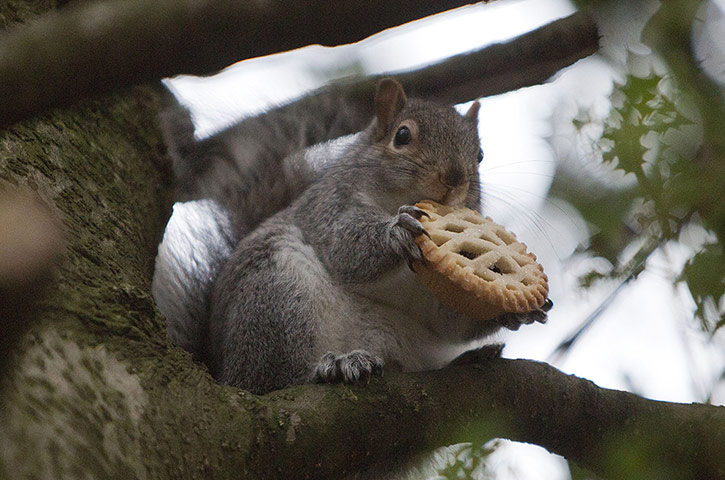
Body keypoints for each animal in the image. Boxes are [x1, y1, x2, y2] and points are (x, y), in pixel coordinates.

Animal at [153, 78, 549, 394]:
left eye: (479, 155)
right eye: (402, 136)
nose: (455, 178)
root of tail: (224, 371)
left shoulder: (436, 291)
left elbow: (450, 319)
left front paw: (519, 310)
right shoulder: (329, 208)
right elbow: (347, 248)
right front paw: (395, 231)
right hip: (275, 297)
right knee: (275, 381)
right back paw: (332, 369)